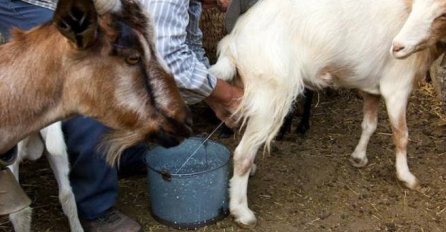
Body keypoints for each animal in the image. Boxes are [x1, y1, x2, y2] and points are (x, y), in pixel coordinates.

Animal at [211, 0, 446, 227]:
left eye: (440, 14)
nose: (398, 47)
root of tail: (233, 42)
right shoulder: (396, 88)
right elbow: (401, 135)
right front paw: (407, 177)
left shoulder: (373, 89)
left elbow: (369, 125)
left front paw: (359, 157)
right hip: (270, 96)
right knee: (242, 154)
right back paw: (242, 212)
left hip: (246, 91)